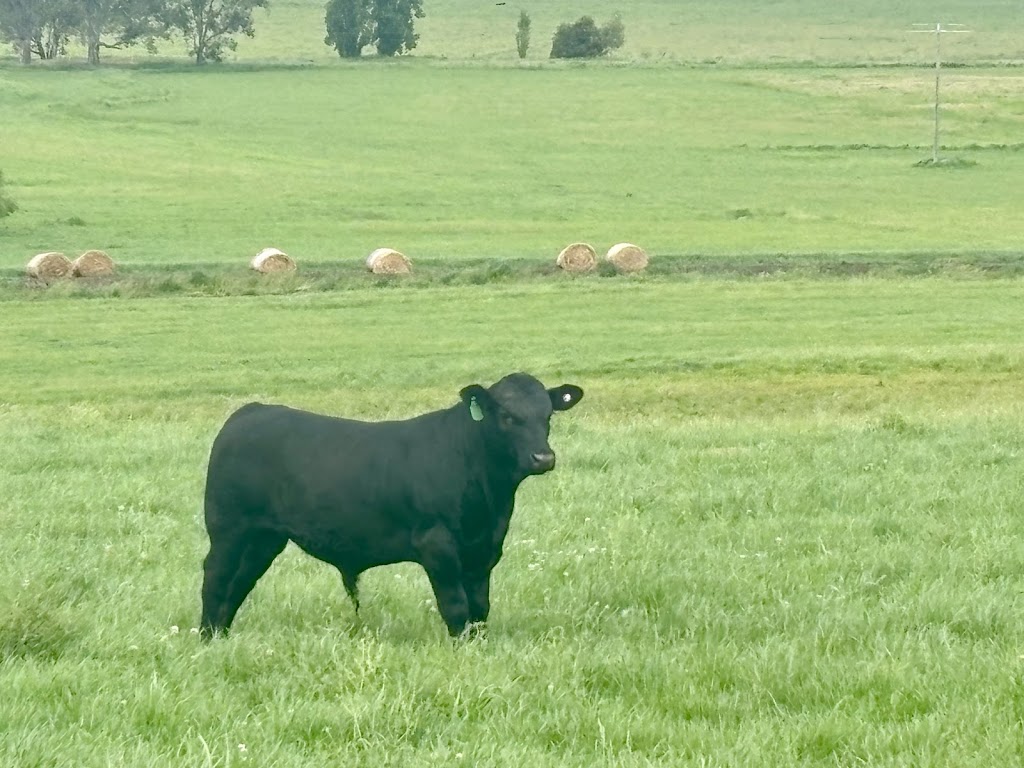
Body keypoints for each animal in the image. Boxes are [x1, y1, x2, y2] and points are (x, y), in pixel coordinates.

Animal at [199, 372, 584, 639]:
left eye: (548, 416)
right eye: (507, 416)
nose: (543, 457)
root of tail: (251, 411)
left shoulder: (485, 549)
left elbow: (479, 607)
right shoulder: (437, 545)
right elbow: (456, 605)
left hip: (263, 538)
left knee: (240, 583)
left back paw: (222, 635)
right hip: (228, 530)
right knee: (215, 577)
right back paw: (206, 638)